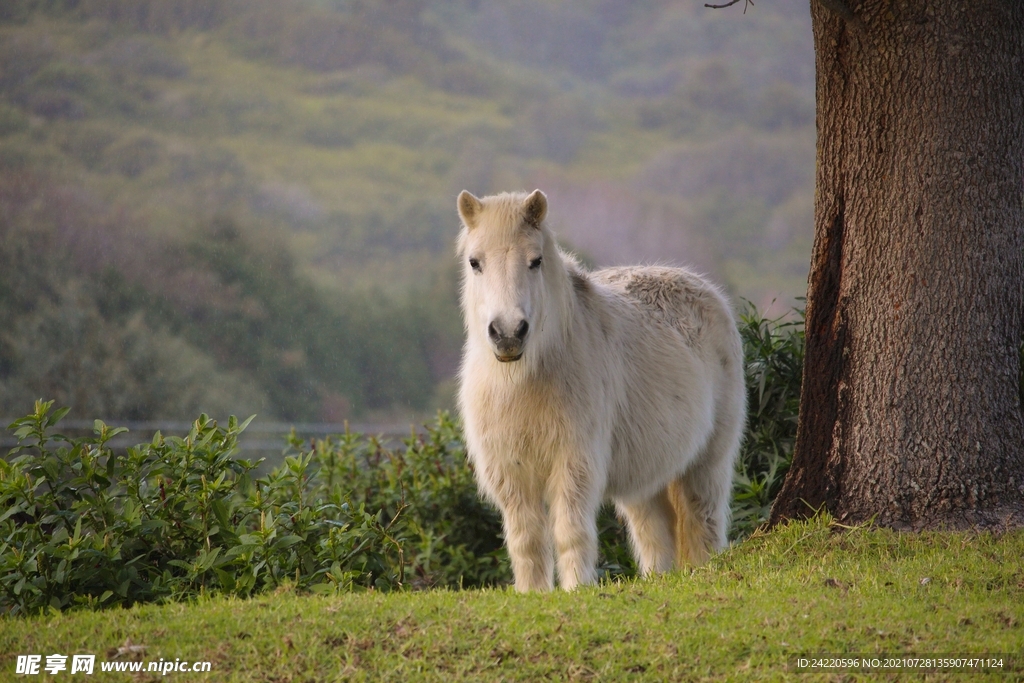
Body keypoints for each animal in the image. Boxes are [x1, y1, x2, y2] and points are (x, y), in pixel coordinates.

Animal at [456, 189, 746, 591]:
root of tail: (706, 289)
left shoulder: (574, 463)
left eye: (535, 261)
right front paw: (533, 593)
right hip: (646, 481)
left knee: (704, 522)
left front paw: (577, 589)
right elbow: (526, 541)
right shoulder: (511, 474)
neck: (524, 381)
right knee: (655, 534)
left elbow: (570, 532)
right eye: (475, 262)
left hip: (707, 464)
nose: (509, 333)